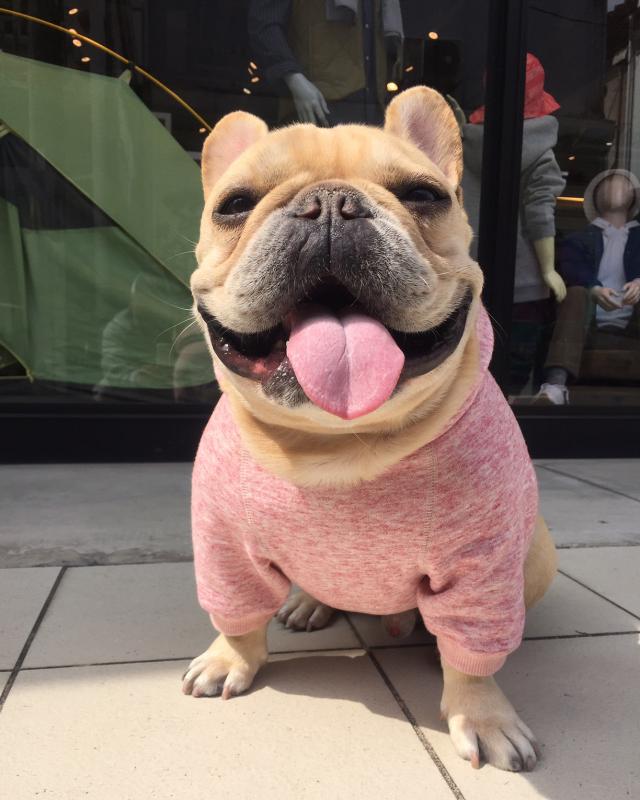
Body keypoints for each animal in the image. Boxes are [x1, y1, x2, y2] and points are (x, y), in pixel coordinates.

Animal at [182, 86, 557, 773]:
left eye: (423, 195)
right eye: (235, 205)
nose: (331, 202)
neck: (334, 441)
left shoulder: (484, 564)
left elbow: (474, 655)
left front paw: (483, 715)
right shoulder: (222, 545)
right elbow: (237, 611)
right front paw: (231, 658)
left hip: (536, 554)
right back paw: (310, 602)